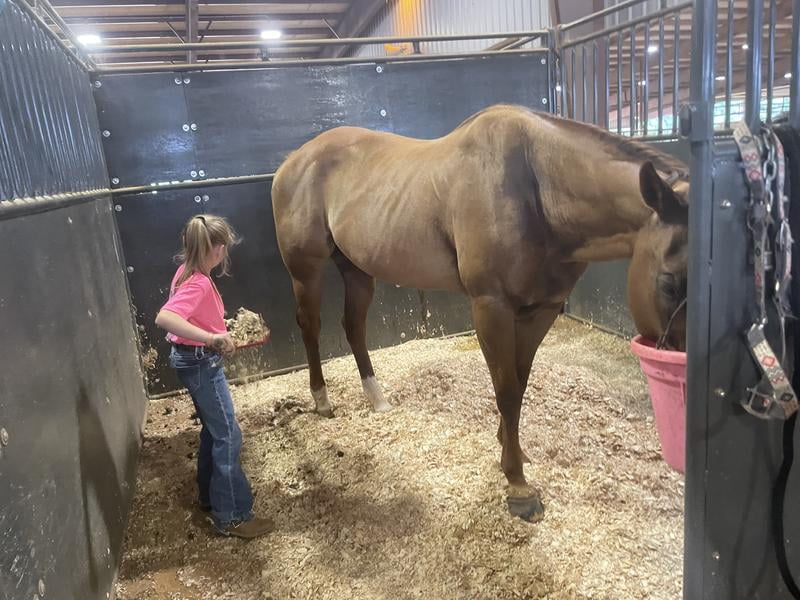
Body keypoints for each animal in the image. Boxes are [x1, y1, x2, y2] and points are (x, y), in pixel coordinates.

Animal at [271, 104, 689, 522]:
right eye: (669, 283)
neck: (536, 188)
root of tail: (293, 160)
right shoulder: (491, 307)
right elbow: (506, 390)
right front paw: (518, 485)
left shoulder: (541, 310)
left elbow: (519, 384)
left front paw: (512, 450)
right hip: (305, 270)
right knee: (311, 325)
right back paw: (322, 401)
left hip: (357, 270)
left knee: (354, 326)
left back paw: (377, 400)